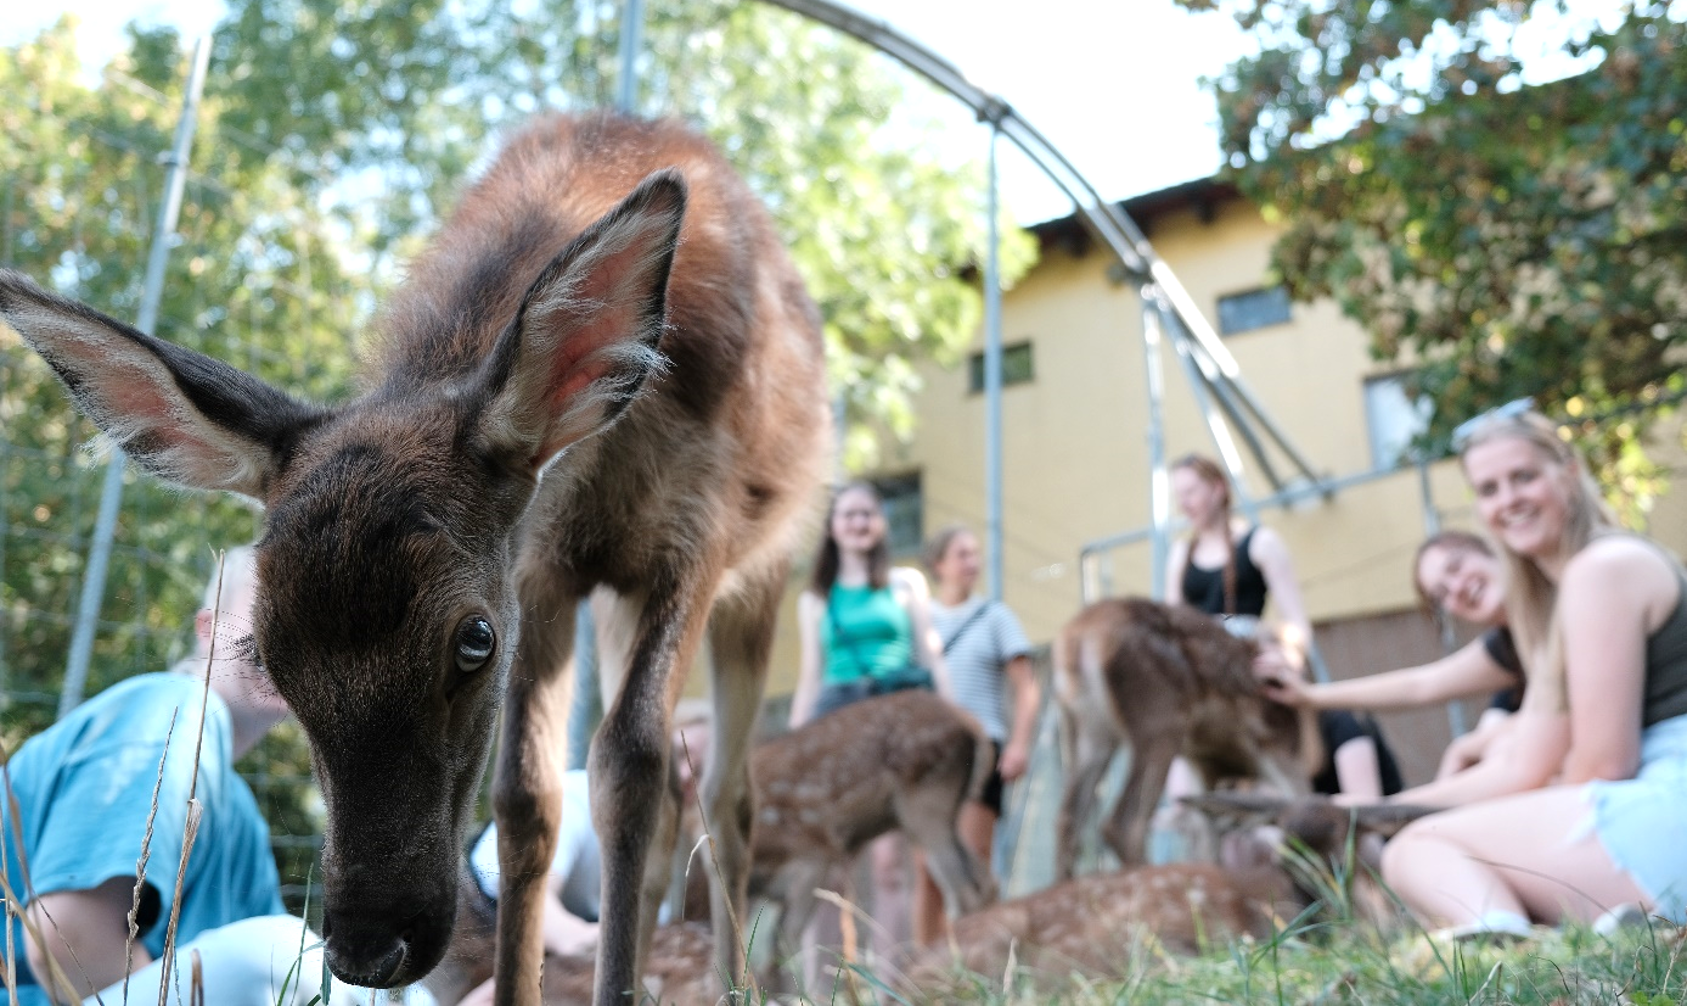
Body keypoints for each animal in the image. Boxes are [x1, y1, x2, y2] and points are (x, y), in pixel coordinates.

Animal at [0, 112, 830, 1006]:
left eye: (473, 639)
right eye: (265, 656)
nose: (370, 948)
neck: (607, 457)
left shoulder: (695, 533)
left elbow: (627, 767)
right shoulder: (537, 568)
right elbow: (526, 799)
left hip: (761, 573)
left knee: (727, 797)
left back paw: (733, 980)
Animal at [1052, 600, 1315, 877]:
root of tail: (1078, 636)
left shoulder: (1204, 763)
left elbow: (1207, 841)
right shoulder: (1281, 749)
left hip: (1087, 730)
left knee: (1067, 820)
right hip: (1160, 719)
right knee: (1123, 823)